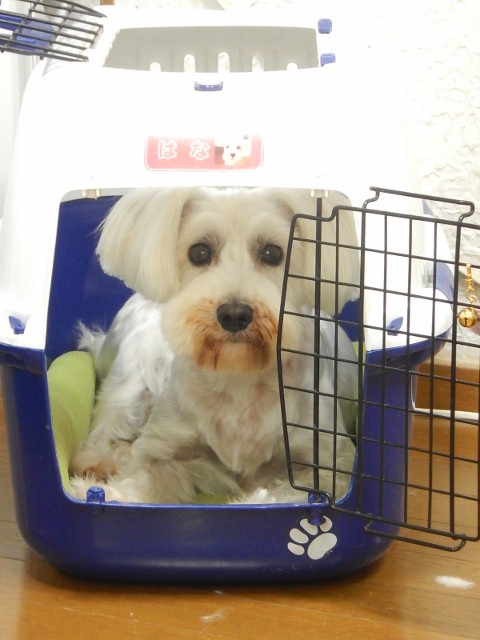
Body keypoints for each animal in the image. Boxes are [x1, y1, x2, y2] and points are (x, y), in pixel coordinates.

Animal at [69, 187, 359, 504]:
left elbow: (279, 496)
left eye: (273, 253)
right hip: (133, 376)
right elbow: (141, 477)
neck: (238, 376)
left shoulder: (328, 466)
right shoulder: (161, 447)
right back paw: (96, 460)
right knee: (107, 424)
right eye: (199, 252)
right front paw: (98, 492)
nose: (234, 314)